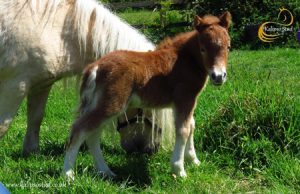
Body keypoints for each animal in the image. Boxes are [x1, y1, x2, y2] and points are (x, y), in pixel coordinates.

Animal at [0, 0, 173, 155]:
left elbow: (36, 118)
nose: (152, 149)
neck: (55, 28)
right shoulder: (15, 87)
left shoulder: (42, 85)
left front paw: (31, 151)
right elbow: (4, 125)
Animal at [63, 12, 232, 179]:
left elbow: (191, 125)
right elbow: (183, 130)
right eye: (203, 49)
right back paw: (68, 174)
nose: (218, 76)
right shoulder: (185, 98)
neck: (184, 61)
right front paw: (179, 170)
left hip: (100, 105)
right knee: (80, 130)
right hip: (111, 106)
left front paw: (194, 160)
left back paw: (105, 171)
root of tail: (95, 67)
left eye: (228, 46)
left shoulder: (183, 102)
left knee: (92, 135)